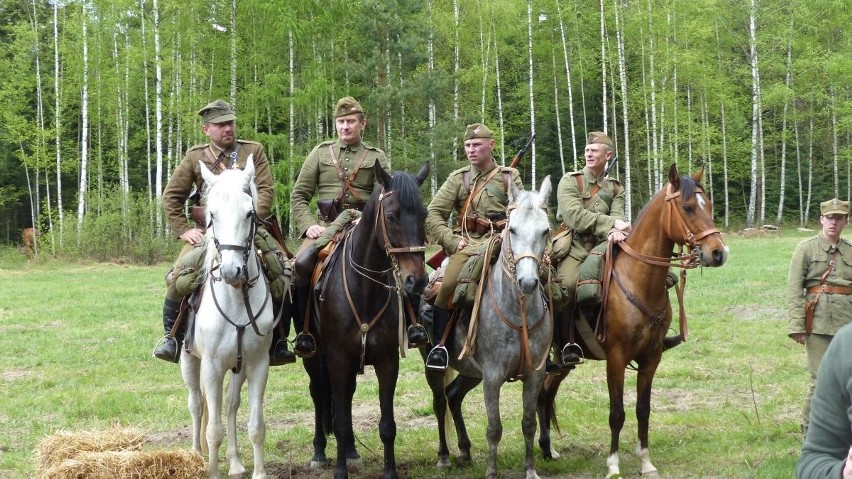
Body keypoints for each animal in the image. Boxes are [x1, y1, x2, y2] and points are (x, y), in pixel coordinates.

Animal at [180, 158, 272, 479]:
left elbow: (255, 426)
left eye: (249, 213)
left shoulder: (258, 365)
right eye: (213, 215)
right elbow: (213, 430)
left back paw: (234, 463)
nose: (232, 270)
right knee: (196, 405)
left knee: (231, 405)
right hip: (189, 362)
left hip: (237, 368)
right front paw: (210, 471)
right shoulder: (211, 367)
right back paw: (196, 456)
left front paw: (258, 472)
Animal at [302, 162, 430, 479]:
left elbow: (387, 425)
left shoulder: (387, 361)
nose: (417, 281)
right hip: (315, 358)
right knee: (319, 394)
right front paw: (339, 472)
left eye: (424, 215)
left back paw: (351, 452)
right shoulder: (337, 359)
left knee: (345, 397)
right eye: (392, 216)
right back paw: (320, 452)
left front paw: (389, 472)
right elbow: (338, 420)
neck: (364, 289)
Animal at [540, 163, 724, 478]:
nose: (719, 252)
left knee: (544, 393)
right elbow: (617, 413)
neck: (638, 279)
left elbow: (642, 410)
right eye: (688, 207)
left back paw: (547, 449)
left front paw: (646, 462)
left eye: (709, 206)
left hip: (561, 363)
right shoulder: (616, 359)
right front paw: (613, 465)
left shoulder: (652, 358)